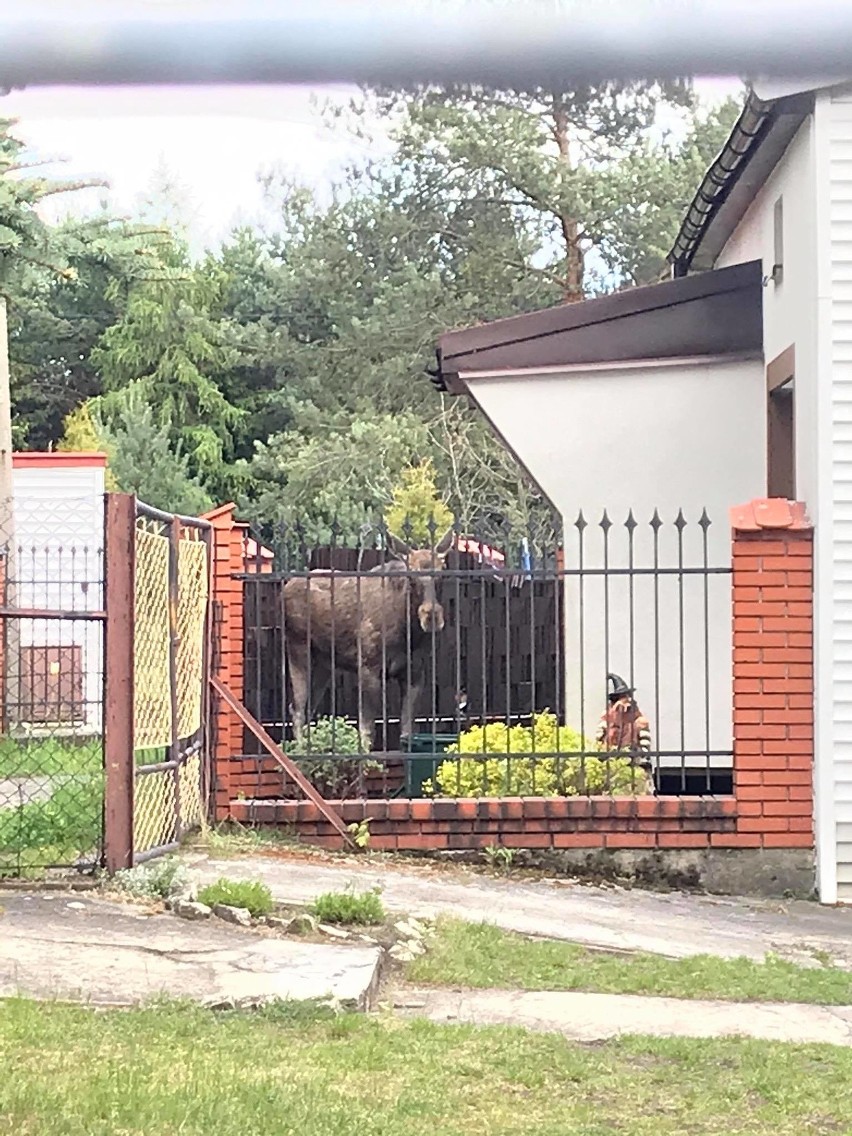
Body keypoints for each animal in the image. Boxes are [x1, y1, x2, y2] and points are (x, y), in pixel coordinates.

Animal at [281, 529, 456, 754]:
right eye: (411, 577)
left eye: (442, 573)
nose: (431, 617)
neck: (408, 633)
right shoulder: (368, 668)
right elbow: (367, 730)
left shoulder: (415, 673)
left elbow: (407, 730)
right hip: (298, 650)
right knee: (297, 708)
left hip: (323, 665)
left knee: (307, 708)